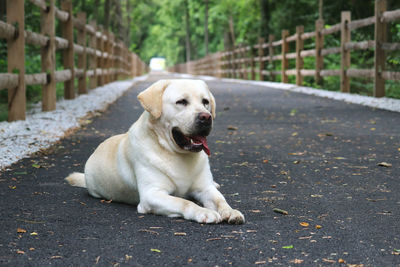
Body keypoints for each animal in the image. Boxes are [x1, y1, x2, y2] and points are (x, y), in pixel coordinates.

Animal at [65, 79, 244, 224]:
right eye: (181, 102)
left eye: (205, 101)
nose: (206, 117)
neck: (177, 154)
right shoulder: (151, 195)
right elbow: (184, 202)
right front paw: (204, 211)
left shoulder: (205, 189)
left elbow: (221, 200)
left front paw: (230, 211)